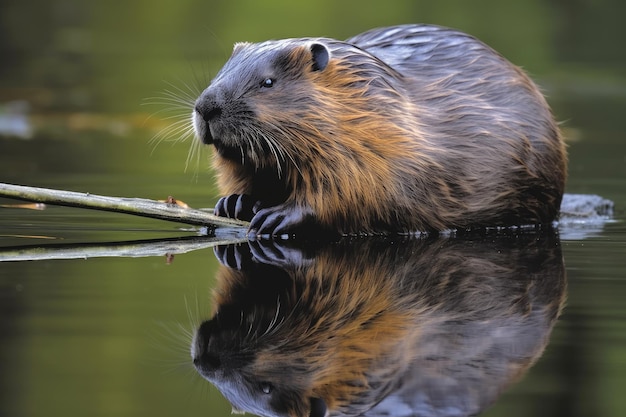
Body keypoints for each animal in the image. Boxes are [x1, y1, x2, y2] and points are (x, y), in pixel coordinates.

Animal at [191, 24, 564, 236]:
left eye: (268, 82)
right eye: (220, 73)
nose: (206, 107)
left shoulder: (380, 145)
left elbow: (353, 192)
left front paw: (276, 217)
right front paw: (234, 203)